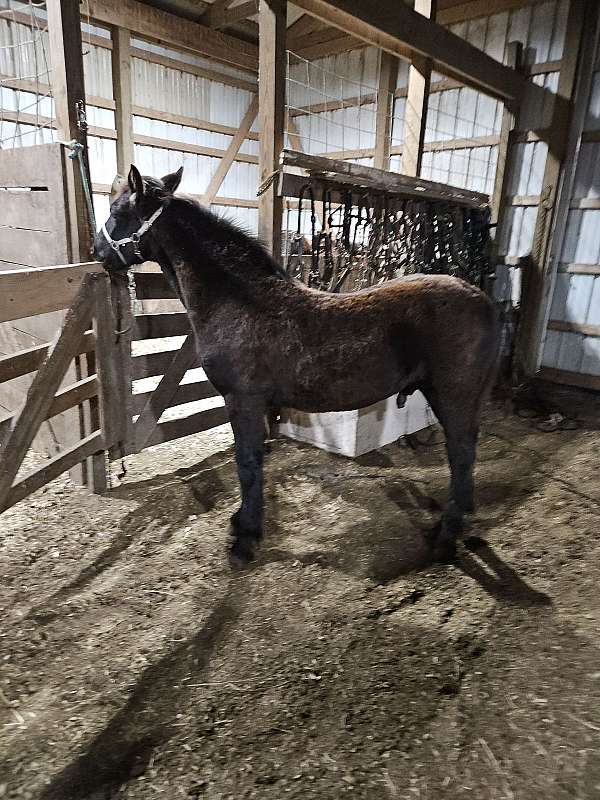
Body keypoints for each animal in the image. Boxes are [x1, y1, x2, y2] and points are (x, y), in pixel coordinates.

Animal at [92, 167, 496, 568]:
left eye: (117, 210)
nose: (98, 252)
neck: (239, 301)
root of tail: (481, 298)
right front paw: (242, 523)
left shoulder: (242, 400)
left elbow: (247, 463)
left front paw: (245, 540)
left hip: (454, 396)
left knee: (461, 456)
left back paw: (445, 541)